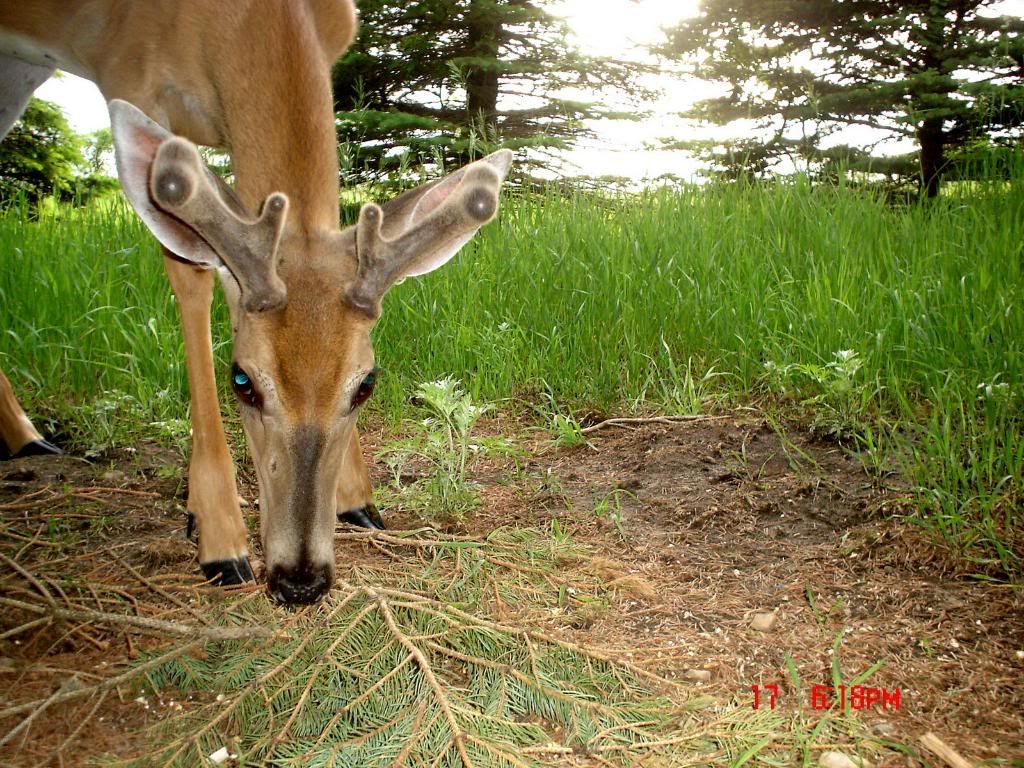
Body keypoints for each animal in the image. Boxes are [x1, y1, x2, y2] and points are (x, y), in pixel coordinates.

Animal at [0, 1, 512, 606]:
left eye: (367, 384)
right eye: (241, 380)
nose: (300, 580)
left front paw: (357, 498)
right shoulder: (127, 72)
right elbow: (192, 273)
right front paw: (218, 534)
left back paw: (27, 437)